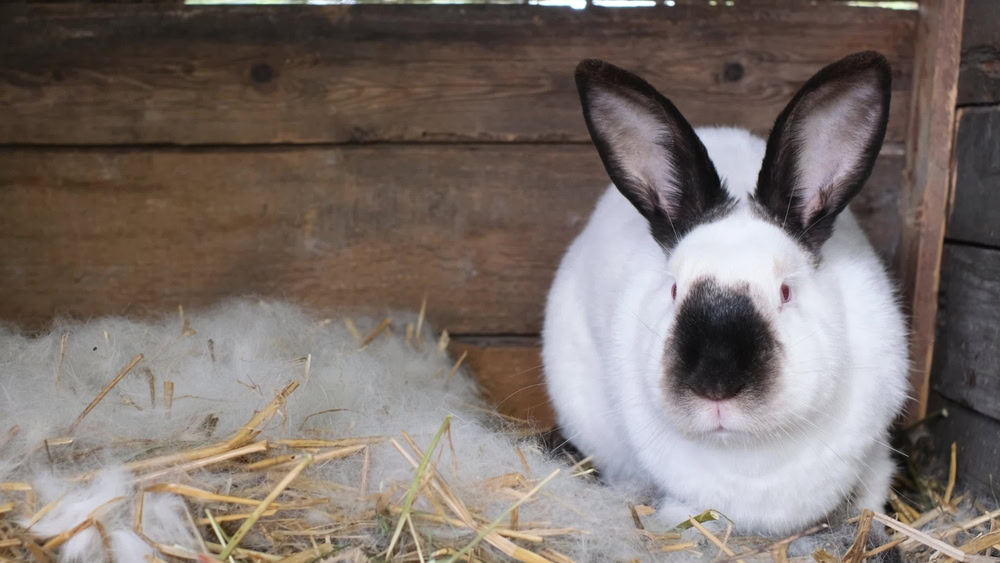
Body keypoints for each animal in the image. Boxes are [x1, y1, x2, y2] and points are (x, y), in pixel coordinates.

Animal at [541, 51, 909, 536]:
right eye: (674, 289)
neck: (750, 458)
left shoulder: (876, 456)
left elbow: (871, 498)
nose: (715, 385)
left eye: (786, 291)